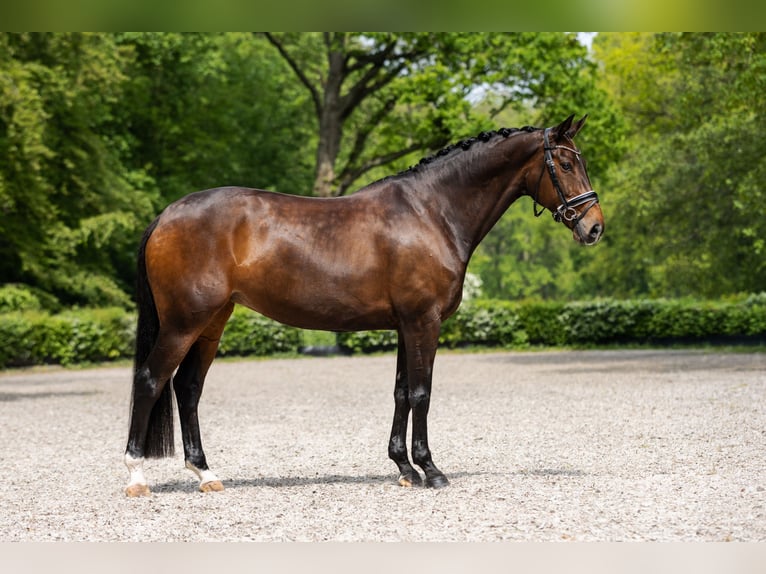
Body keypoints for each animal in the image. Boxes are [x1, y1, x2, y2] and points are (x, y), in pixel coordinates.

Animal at [124, 114, 603, 496]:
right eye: (565, 164)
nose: (594, 227)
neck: (431, 212)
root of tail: (166, 215)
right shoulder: (424, 322)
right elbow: (422, 392)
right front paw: (431, 470)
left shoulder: (405, 325)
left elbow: (401, 393)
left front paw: (404, 467)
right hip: (183, 323)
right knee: (150, 380)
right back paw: (136, 477)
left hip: (211, 323)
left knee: (187, 388)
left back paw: (206, 474)